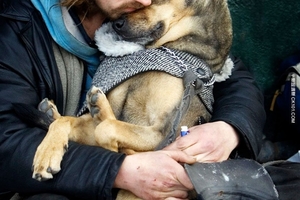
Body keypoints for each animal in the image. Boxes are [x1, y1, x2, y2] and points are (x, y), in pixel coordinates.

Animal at [28, 0, 232, 199]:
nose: (116, 24)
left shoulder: (163, 132)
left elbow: (106, 129)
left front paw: (108, 133)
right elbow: (66, 122)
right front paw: (46, 154)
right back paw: (53, 112)